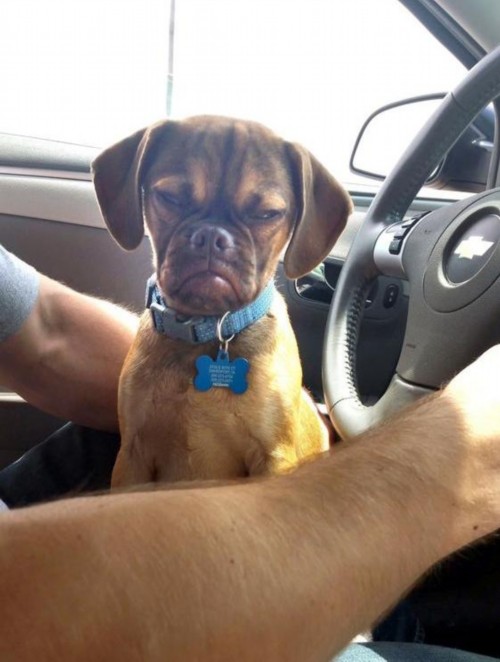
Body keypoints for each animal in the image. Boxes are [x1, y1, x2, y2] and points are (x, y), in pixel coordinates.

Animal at [92, 115, 352, 487]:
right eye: (170, 197)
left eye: (267, 214)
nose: (212, 236)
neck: (206, 330)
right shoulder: (132, 459)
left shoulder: (273, 459)